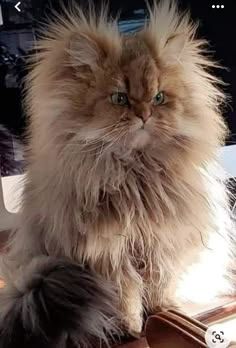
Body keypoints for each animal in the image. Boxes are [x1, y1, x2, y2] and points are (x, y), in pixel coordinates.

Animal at [0, 0, 236, 346]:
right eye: (119, 98)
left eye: (159, 98)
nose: (144, 115)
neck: (136, 173)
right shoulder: (109, 254)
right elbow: (127, 297)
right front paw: (133, 329)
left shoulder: (163, 244)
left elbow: (161, 286)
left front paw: (164, 312)